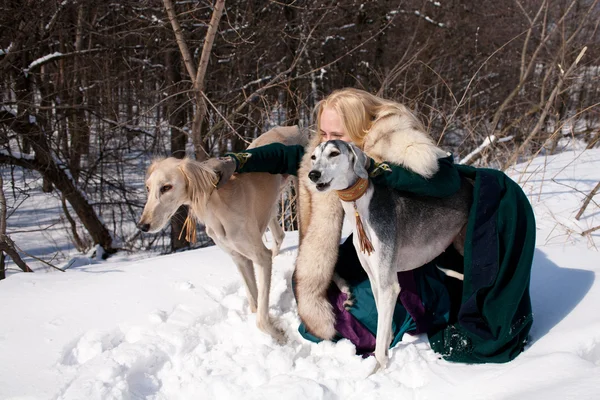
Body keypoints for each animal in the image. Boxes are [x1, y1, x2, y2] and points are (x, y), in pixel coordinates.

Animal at [138, 126, 308, 342]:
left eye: (166, 187)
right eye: (148, 187)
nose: (142, 226)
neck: (217, 205)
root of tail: (292, 127)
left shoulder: (261, 257)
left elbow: (260, 318)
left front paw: (279, 336)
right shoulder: (240, 258)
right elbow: (255, 304)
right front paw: (274, 326)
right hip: (269, 208)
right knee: (279, 236)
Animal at [310, 140, 474, 368]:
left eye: (334, 153)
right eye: (313, 157)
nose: (313, 174)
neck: (362, 207)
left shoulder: (389, 285)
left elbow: (380, 346)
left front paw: (377, 369)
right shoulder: (375, 278)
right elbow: (382, 327)